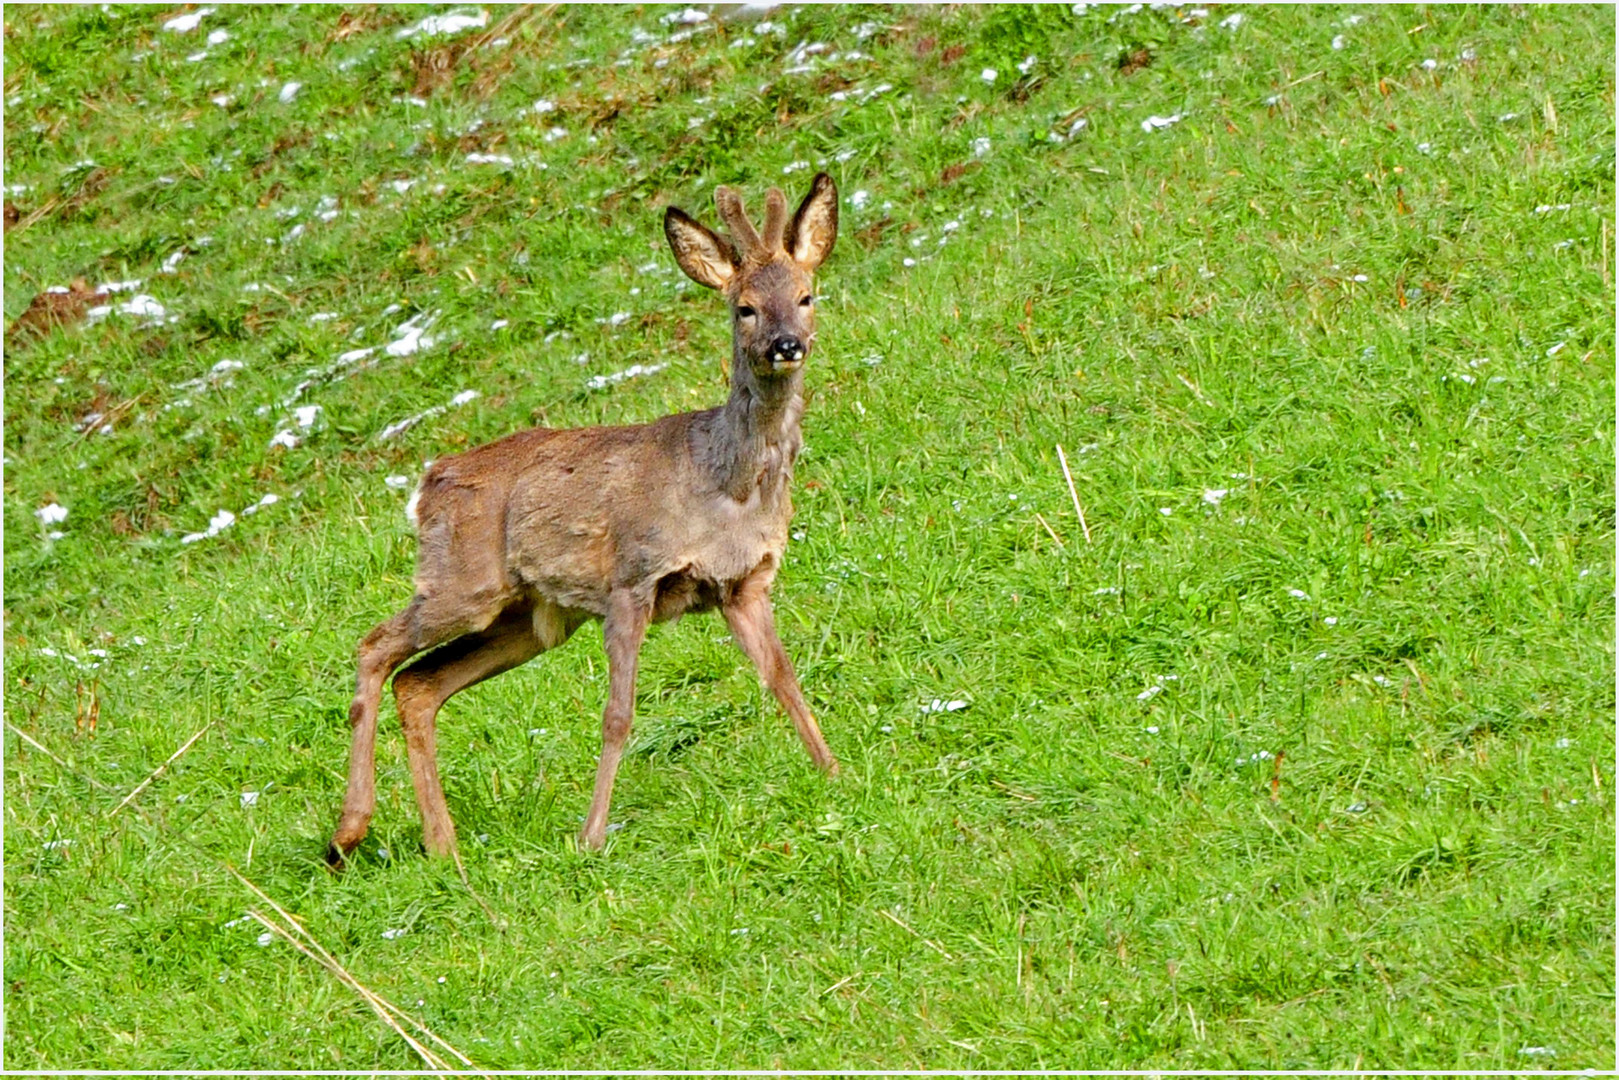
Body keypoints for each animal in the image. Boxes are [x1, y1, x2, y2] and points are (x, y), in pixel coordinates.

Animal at [323, 173, 841, 867]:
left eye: (806, 296)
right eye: (745, 308)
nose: (788, 346)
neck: (723, 486)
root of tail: (428, 482)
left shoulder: (745, 583)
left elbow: (782, 677)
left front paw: (833, 770)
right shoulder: (631, 577)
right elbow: (618, 714)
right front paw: (591, 836)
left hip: (530, 620)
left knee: (420, 685)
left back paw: (443, 847)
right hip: (463, 584)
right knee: (374, 644)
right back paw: (349, 832)